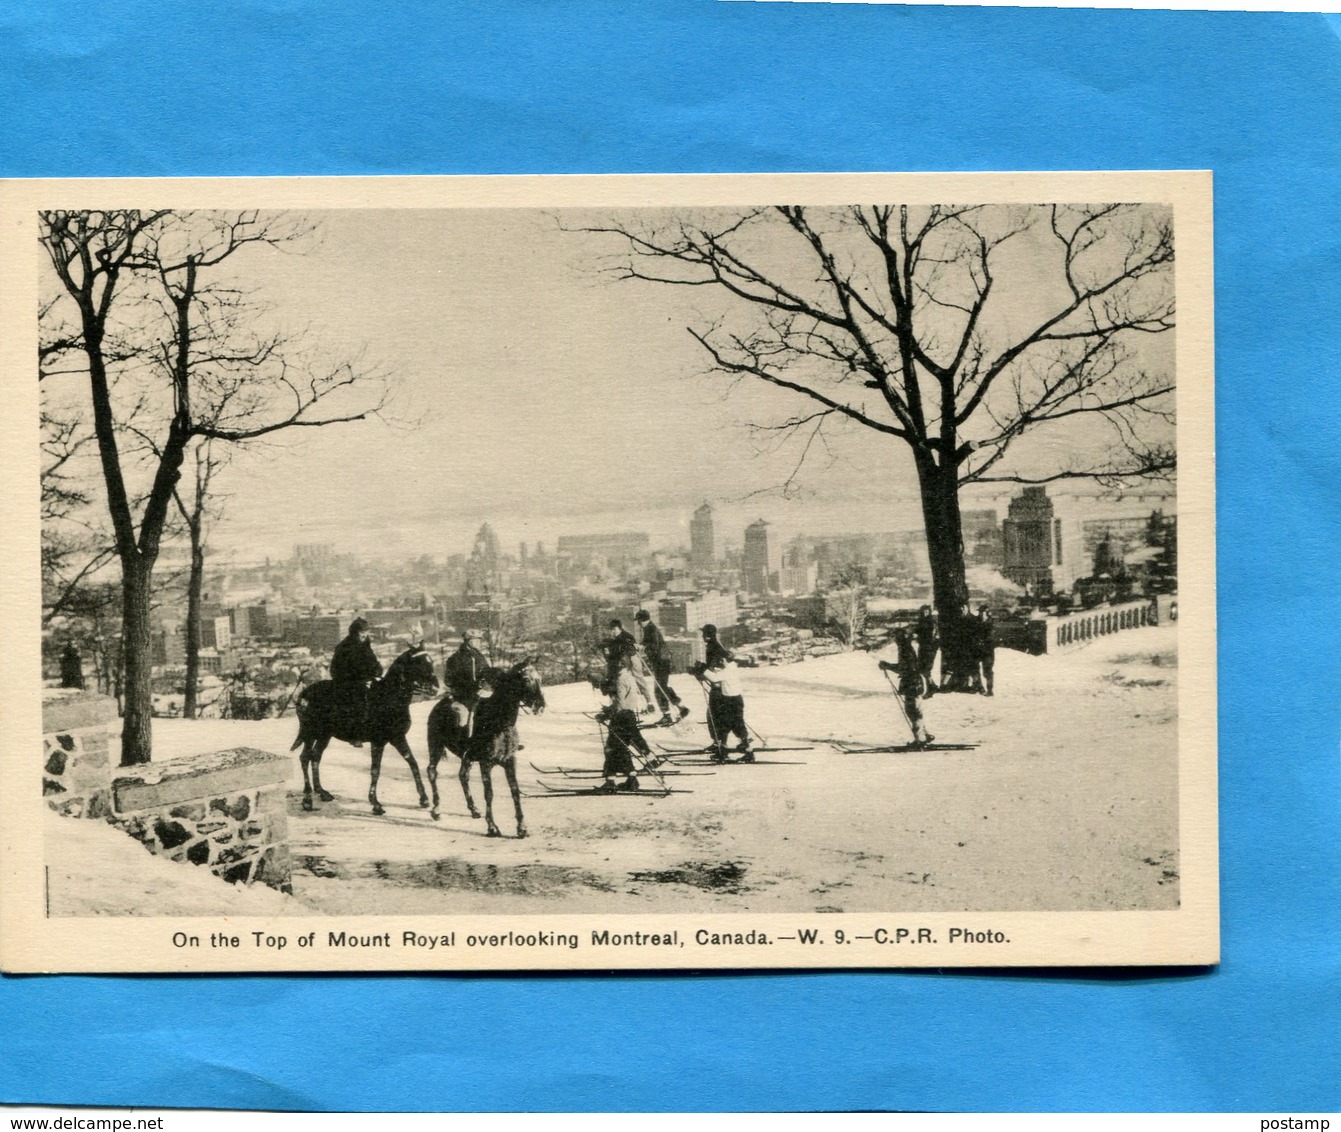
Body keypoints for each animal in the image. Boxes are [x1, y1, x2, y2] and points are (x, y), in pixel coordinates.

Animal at [289, 646, 439, 815]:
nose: (435, 688)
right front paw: (376, 803)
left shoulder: (398, 738)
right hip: (311, 733)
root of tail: (304, 694)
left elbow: (412, 763)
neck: (389, 697)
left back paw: (322, 792)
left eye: (430, 662)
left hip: (324, 735)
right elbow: (375, 770)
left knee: (315, 757)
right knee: (305, 758)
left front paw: (424, 799)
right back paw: (307, 799)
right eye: (419, 663)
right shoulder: (378, 742)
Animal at [421, 659, 541, 836]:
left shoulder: (510, 761)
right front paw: (492, 827)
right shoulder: (486, 763)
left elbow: (515, 791)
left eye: (539, 678)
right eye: (526, 679)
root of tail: (440, 705)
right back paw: (437, 810)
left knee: (463, 776)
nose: (540, 705)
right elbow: (489, 793)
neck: (499, 722)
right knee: (432, 772)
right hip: (436, 745)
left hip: (467, 757)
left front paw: (522, 828)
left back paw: (474, 809)